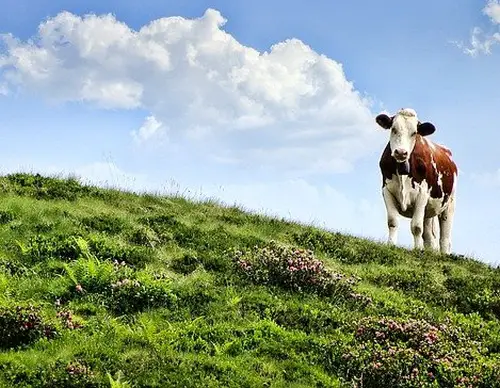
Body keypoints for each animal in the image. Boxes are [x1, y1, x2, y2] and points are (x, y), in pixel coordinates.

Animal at [376, 107, 458, 253]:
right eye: (393, 129)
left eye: (414, 133)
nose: (401, 152)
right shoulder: (387, 191)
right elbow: (392, 221)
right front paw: (391, 244)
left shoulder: (422, 194)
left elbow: (416, 227)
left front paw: (418, 249)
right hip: (429, 211)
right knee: (429, 236)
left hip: (449, 204)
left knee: (445, 238)